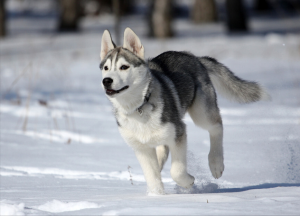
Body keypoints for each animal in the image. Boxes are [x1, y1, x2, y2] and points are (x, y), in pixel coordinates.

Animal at [100, 27, 270, 195]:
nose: (106, 80)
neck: (139, 106)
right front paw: (156, 196)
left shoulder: (179, 133)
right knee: (162, 150)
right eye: (106, 68)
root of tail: (193, 57)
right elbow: (152, 176)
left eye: (124, 67)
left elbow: (176, 172)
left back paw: (216, 163)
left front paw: (189, 182)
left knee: (217, 126)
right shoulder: (141, 148)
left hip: (201, 113)